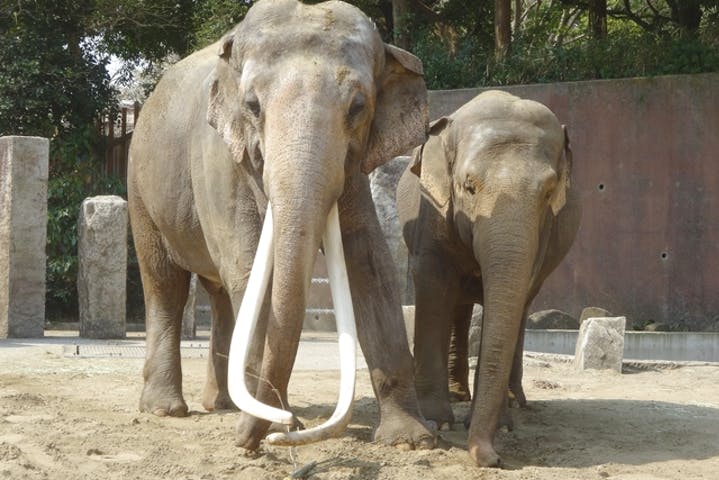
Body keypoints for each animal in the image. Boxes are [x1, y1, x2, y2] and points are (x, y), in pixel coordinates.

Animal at [396, 89, 584, 464]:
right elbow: (433, 283)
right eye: (468, 186)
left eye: (549, 192)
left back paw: (513, 402)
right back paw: (457, 396)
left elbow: (514, 293)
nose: (494, 458)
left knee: (520, 307)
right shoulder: (432, 212)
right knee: (456, 304)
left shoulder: (543, 231)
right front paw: (438, 422)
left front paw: (503, 426)